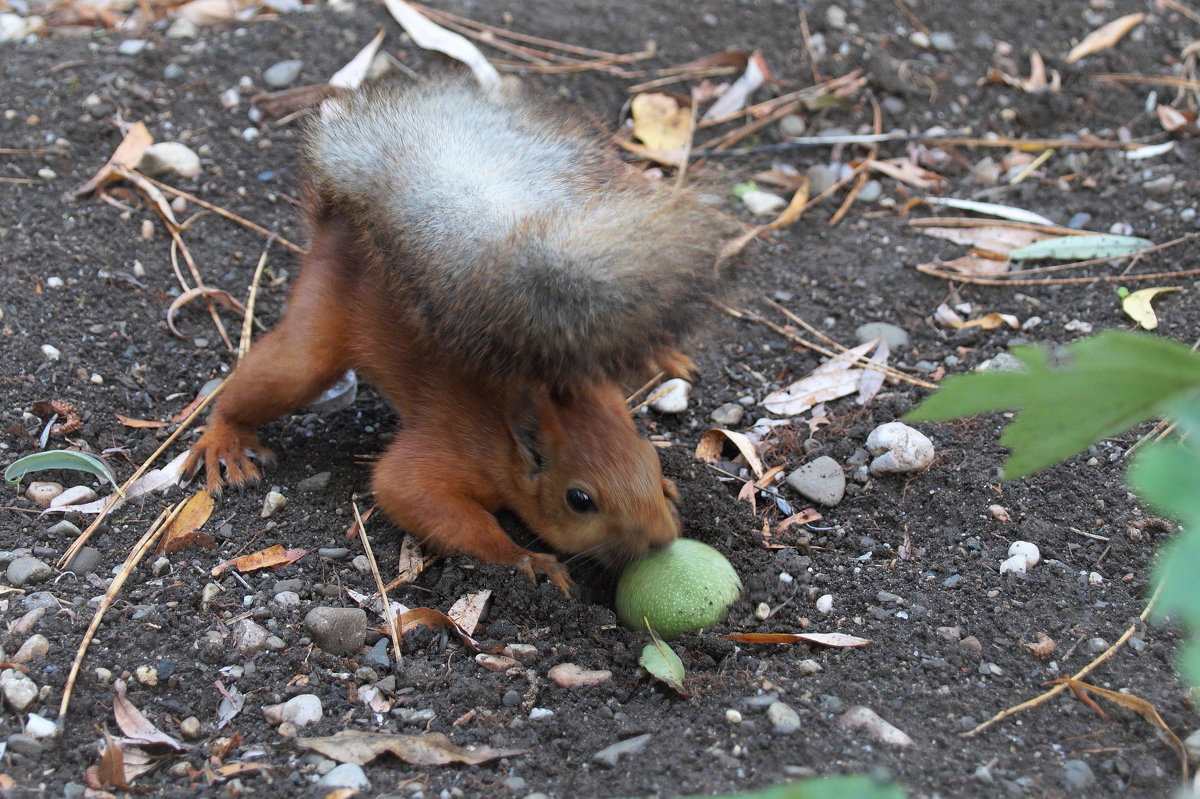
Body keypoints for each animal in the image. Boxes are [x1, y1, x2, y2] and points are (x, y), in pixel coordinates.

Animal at [182, 77, 734, 590]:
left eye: (650, 459)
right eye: (580, 500)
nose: (661, 539)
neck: (522, 423)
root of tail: (339, 221)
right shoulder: (454, 448)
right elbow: (407, 489)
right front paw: (527, 559)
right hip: (312, 340)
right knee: (271, 378)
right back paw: (223, 439)